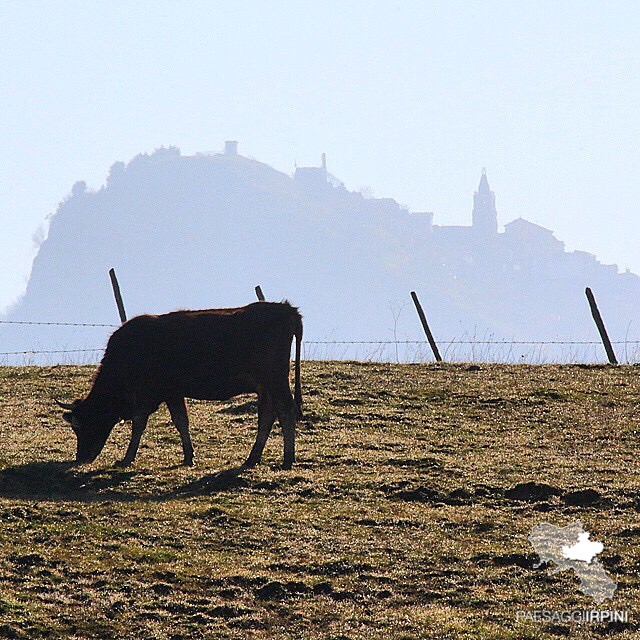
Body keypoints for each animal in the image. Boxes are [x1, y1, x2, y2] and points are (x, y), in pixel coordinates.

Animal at [56, 300, 304, 470]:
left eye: (80, 426)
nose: (81, 458)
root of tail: (287, 309)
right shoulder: (172, 392)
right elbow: (181, 422)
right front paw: (188, 456)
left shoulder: (149, 395)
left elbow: (140, 424)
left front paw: (127, 458)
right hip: (265, 386)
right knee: (267, 416)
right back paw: (252, 458)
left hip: (275, 379)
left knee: (285, 411)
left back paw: (287, 459)